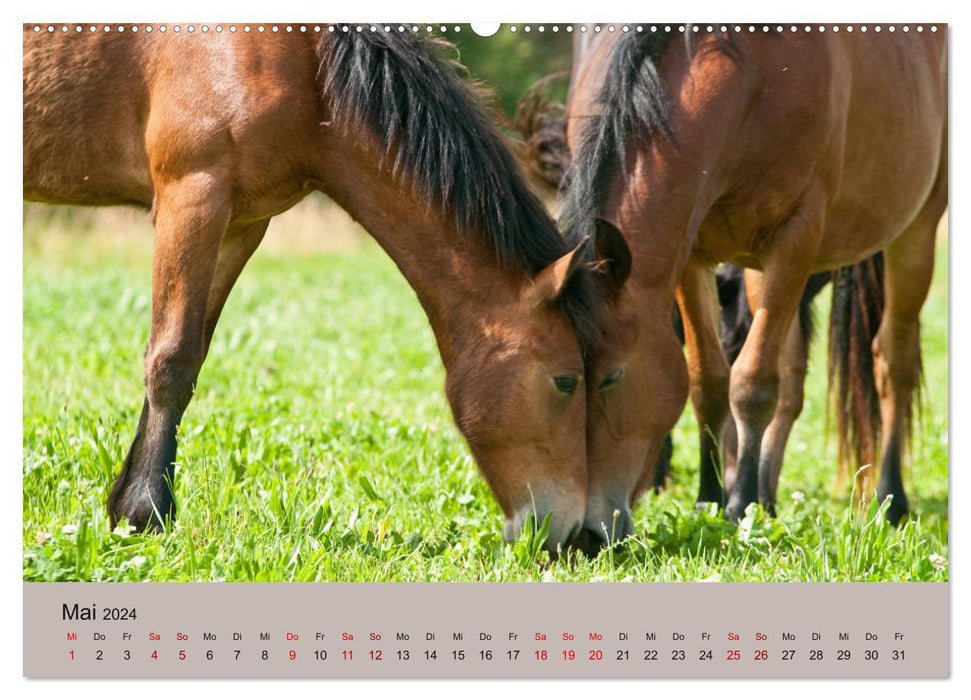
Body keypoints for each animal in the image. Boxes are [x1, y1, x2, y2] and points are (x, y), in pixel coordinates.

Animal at [22, 24, 612, 556]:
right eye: (566, 381)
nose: (579, 538)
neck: (303, 64)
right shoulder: (192, 196)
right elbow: (170, 360)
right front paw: (145, 513)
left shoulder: (241, 222)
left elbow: (190, 354)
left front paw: (125, 505)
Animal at [560, 27, 944, 552]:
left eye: (611, 379)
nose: (578, 537)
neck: (751, 77)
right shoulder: (693, 254)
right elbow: (708, 381)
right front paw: (709, 499)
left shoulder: (795, 237)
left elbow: (752, 383)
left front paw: (740, 505)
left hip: (915, 231)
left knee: (893, 363)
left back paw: (890, 499)